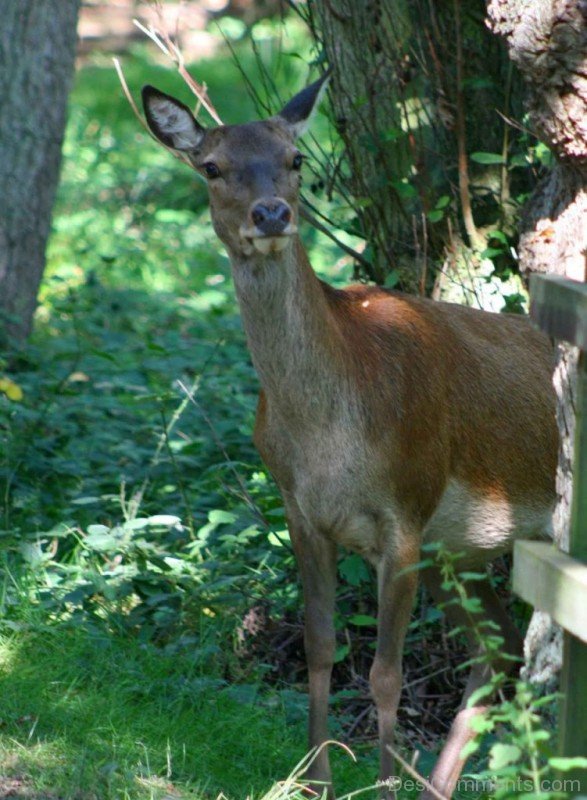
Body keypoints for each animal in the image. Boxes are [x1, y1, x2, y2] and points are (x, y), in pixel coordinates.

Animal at [140, 72, 560, 796]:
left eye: (295, 159)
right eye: (212, 167)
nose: (271, 215)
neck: (327, 435)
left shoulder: (408, 510)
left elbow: (386, 673)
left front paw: (381, 783)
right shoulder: (301, 509)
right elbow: (319, 647)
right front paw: (313, 779)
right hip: (462, 551)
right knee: (498, 648)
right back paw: (439, 784)